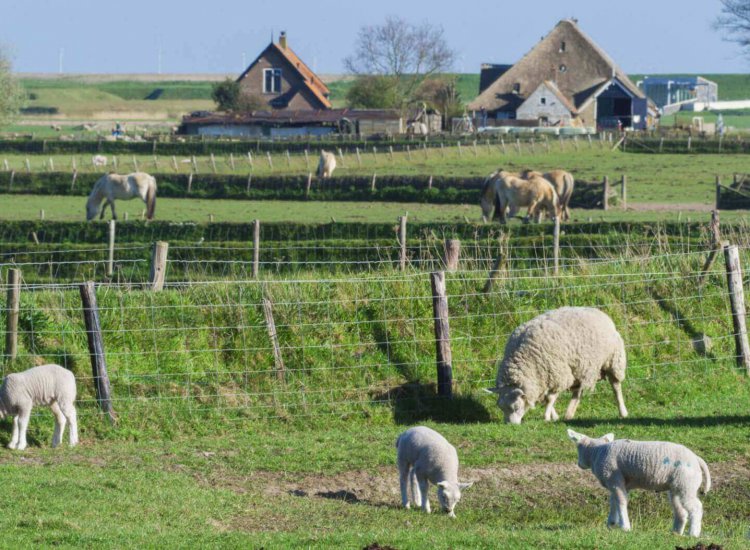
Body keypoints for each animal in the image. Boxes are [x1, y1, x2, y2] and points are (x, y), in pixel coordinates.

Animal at [488, 308, 628, 424]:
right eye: (500, 407)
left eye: (516, 407)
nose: (510, 424)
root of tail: (599, 312)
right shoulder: (543, 377)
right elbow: (546, 398)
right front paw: (554, 416)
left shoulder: (558, 375)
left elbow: (549, 398)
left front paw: (546, 417)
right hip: (579, 367)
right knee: (578, 391)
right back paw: (569, 414)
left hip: (613, 361)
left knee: (616, 386)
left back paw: (623, 412)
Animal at [568, 432, 712, 540]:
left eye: (578, 446)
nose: (579, 464)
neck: (596, 453)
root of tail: (697, 459)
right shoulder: (618, 482)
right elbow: (614, 501)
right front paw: (611, 523)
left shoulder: (613, 478)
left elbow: (621, 502)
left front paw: (625, 527)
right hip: (677, 487)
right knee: (681, 511)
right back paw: (676, 532)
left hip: (686, 484)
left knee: (696, 508)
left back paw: (693, 533)